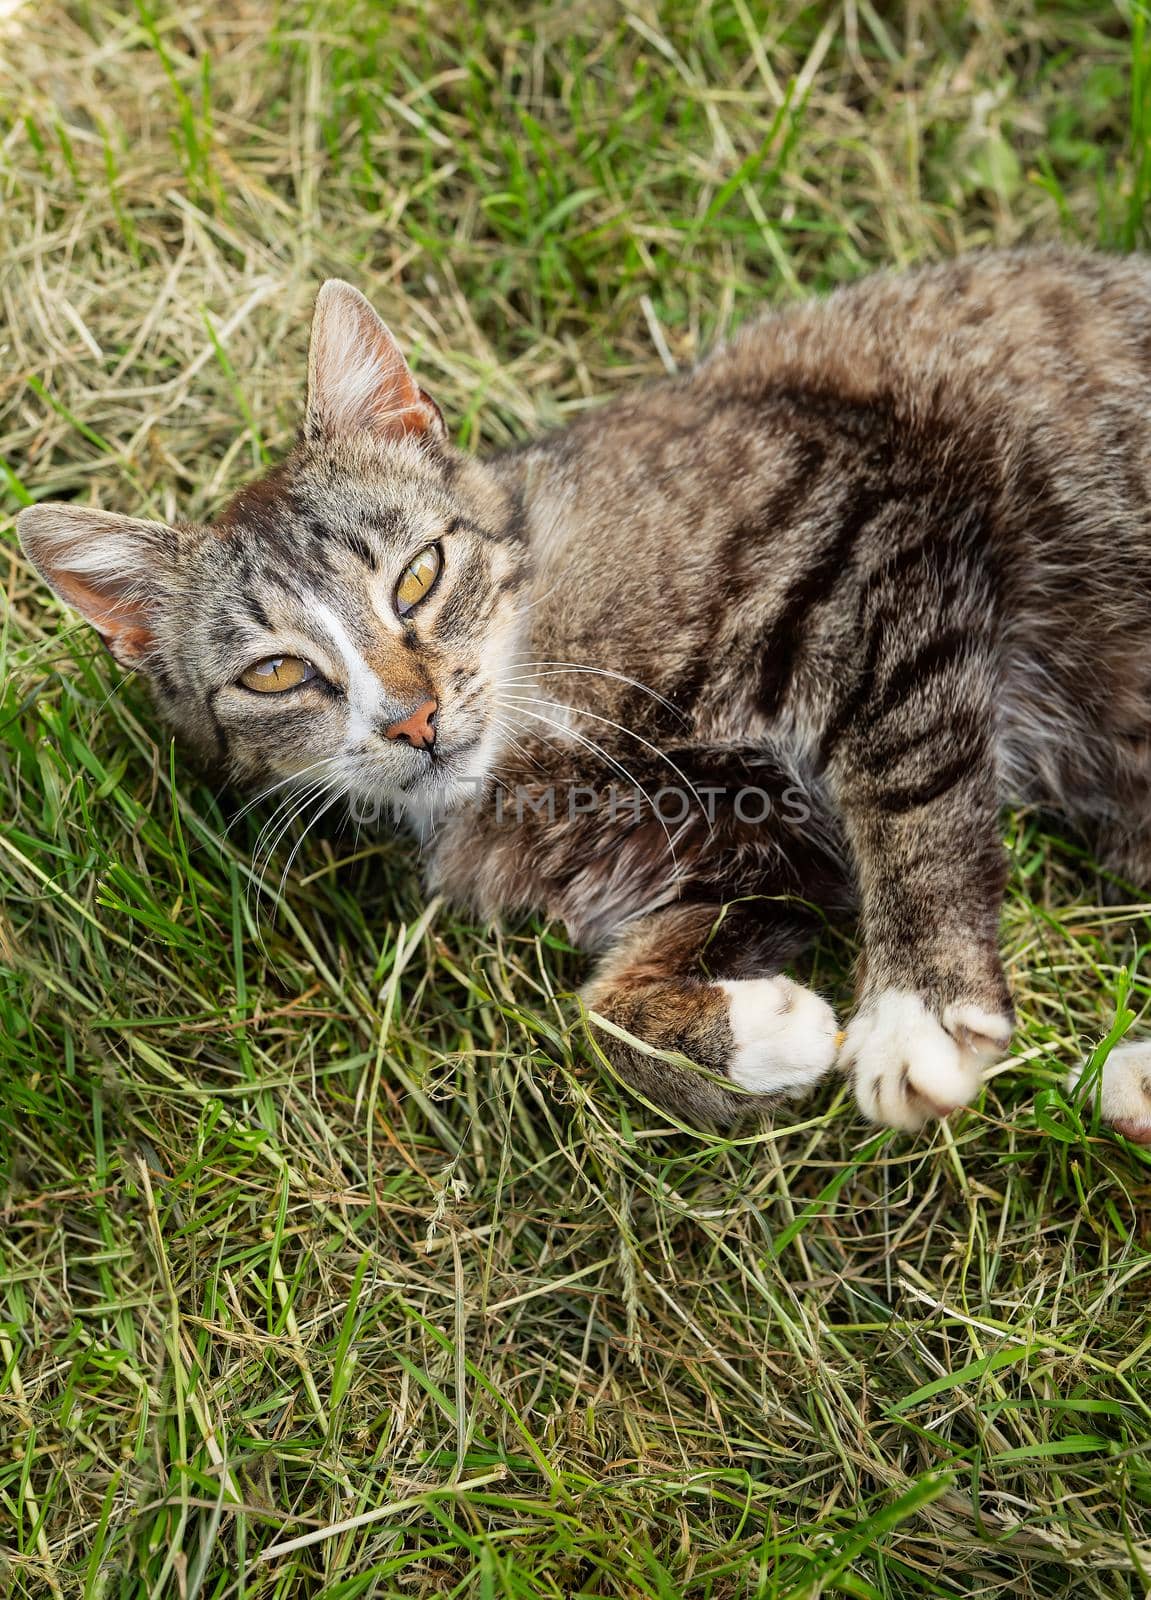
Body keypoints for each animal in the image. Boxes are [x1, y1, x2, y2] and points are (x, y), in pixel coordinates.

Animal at [15, 249, 1151, 1145]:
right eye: (276, 672)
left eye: (416, 578)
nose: (412, 719)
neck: (542, 707)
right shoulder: (752, 853)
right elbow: (599, 1016)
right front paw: (752, 1039)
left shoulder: (871, 531)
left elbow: (908, 795)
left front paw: (915, 1008)